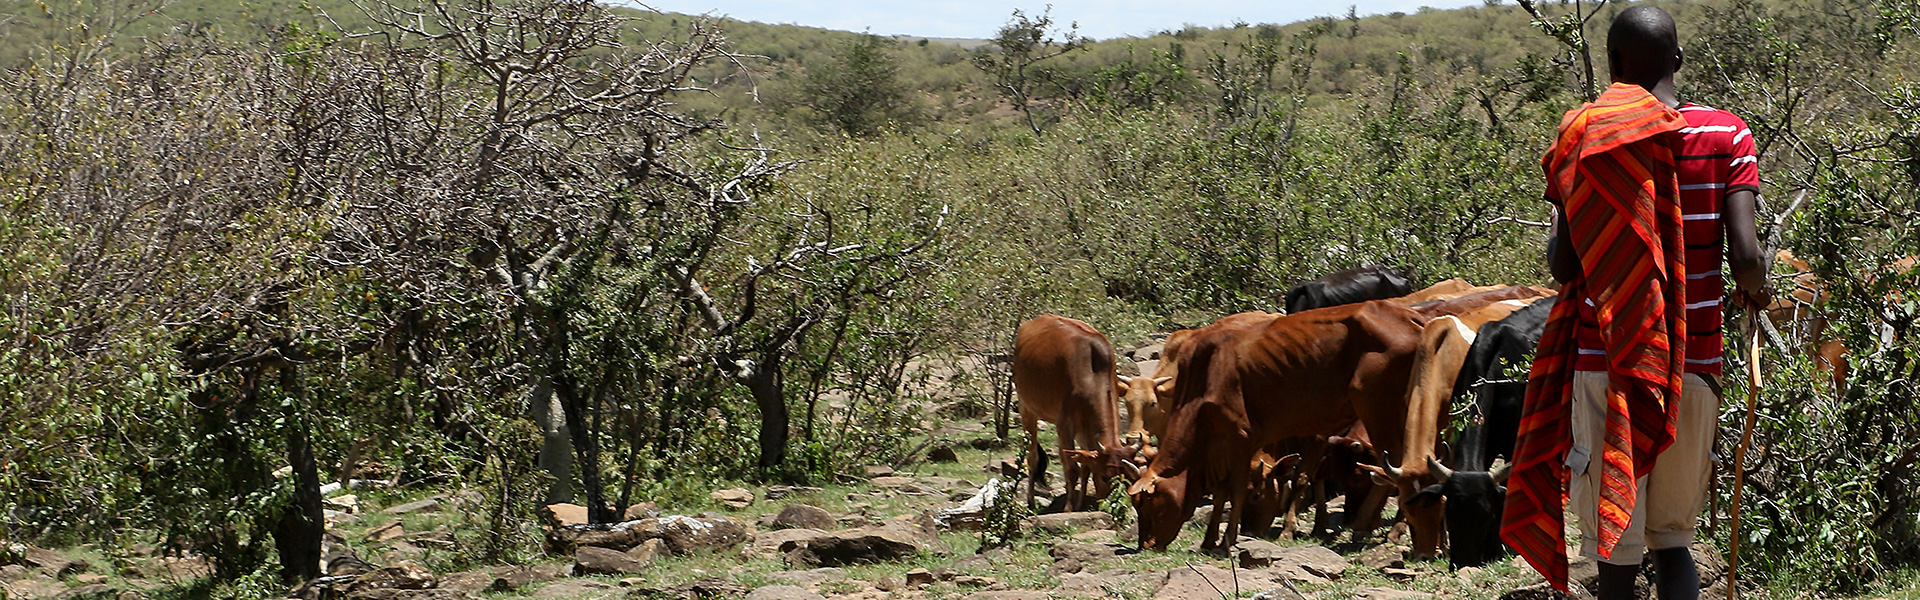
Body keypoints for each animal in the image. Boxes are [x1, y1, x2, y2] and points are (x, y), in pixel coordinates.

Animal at [1013, 313, 1128, 511]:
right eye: (1105, 476)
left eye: (1122, 479)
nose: (1106, 505)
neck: (1093, 376)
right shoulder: (1066, 424)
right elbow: (1072, 469)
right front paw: (1069, 508)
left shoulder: (1085, 430)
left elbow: (1086, 467)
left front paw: (1080, 504)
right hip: (1027, 408)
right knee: (1033, 457)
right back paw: (1031, 502)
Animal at [1128, 301, 1436, 550]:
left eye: (1149, 503)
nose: (1147, 544)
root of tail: (1410, 316)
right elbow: (1220, 494)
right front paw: (1208, 541)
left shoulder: (1241, 438)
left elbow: (1234, 490)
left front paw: (1226, 541)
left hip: (1377, 409)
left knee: (1394, 465)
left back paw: (1375, 527)